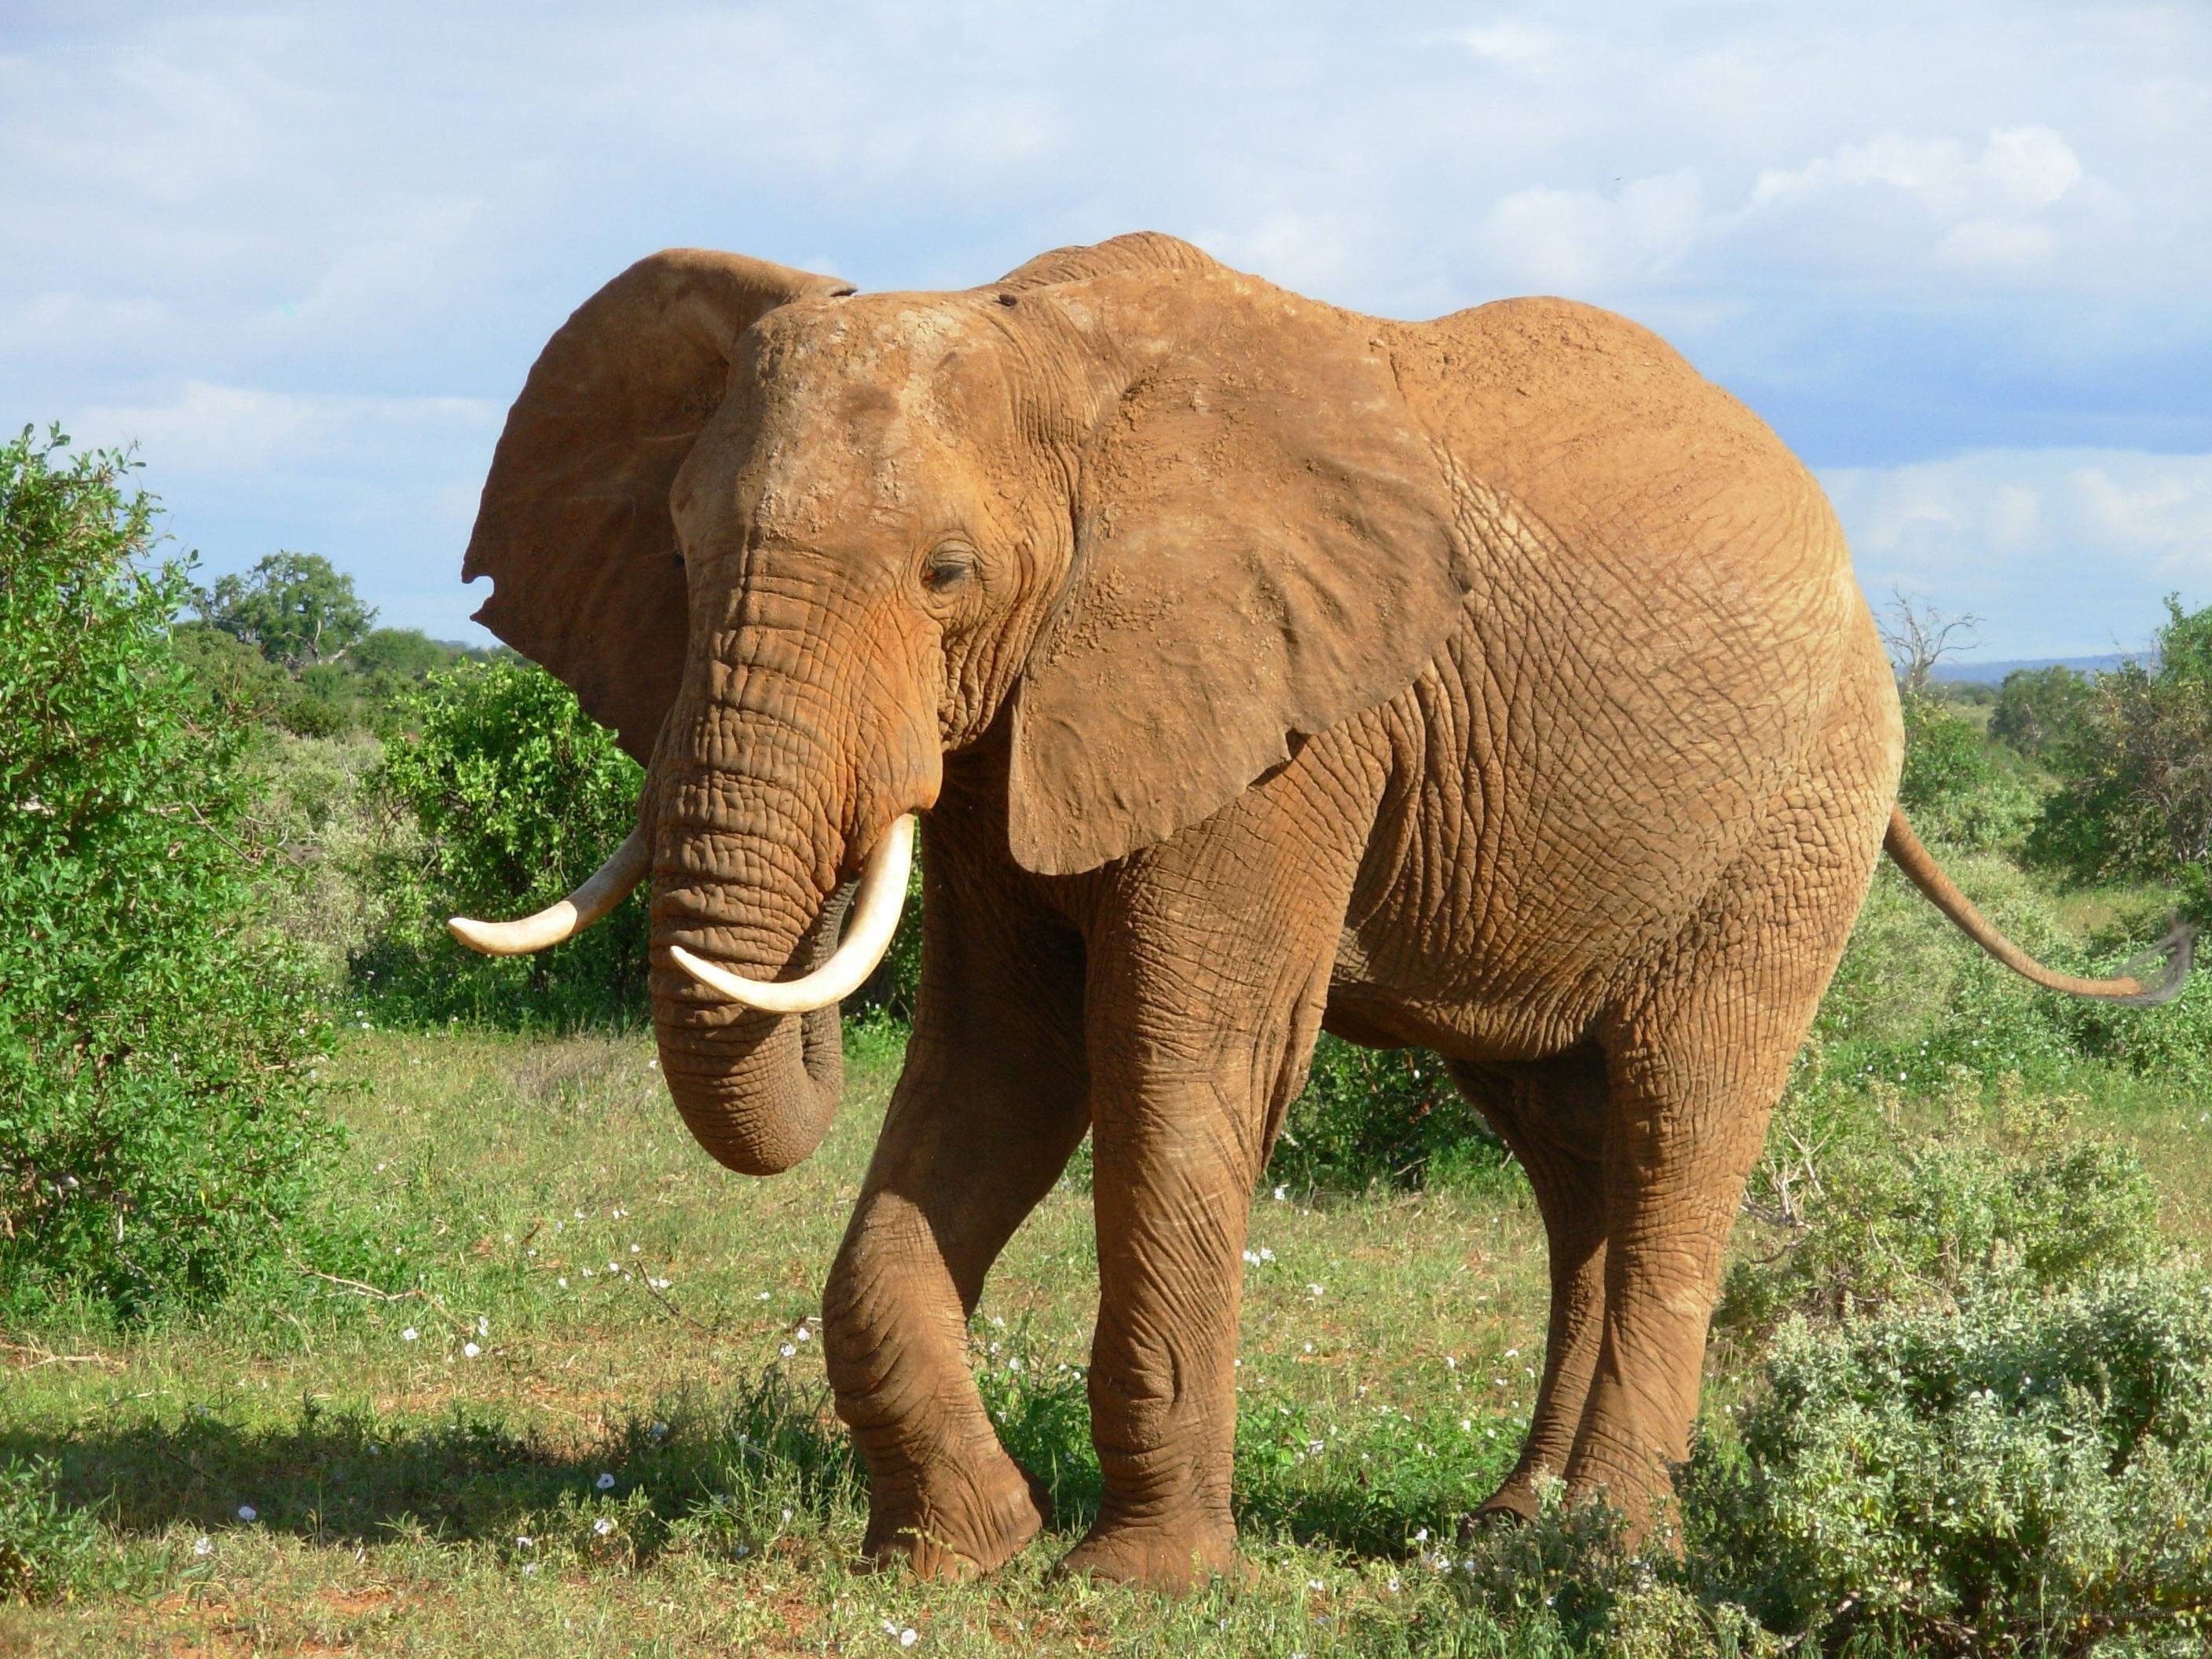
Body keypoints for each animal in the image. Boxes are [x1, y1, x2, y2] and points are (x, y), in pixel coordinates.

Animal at [447, 232, 2190, 1589]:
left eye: (946, 573)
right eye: (680, 550)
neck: (1045, 345)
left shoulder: (1285, 722)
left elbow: (1179, 1054)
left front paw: (1136, 1581)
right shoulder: (1048, 710)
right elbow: (1001, 1057)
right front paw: (958, 1554)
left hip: (1794, 807)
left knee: (1680, 1113)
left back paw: (1609, 1552)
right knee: (1570, 1151)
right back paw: (1512, 1528)